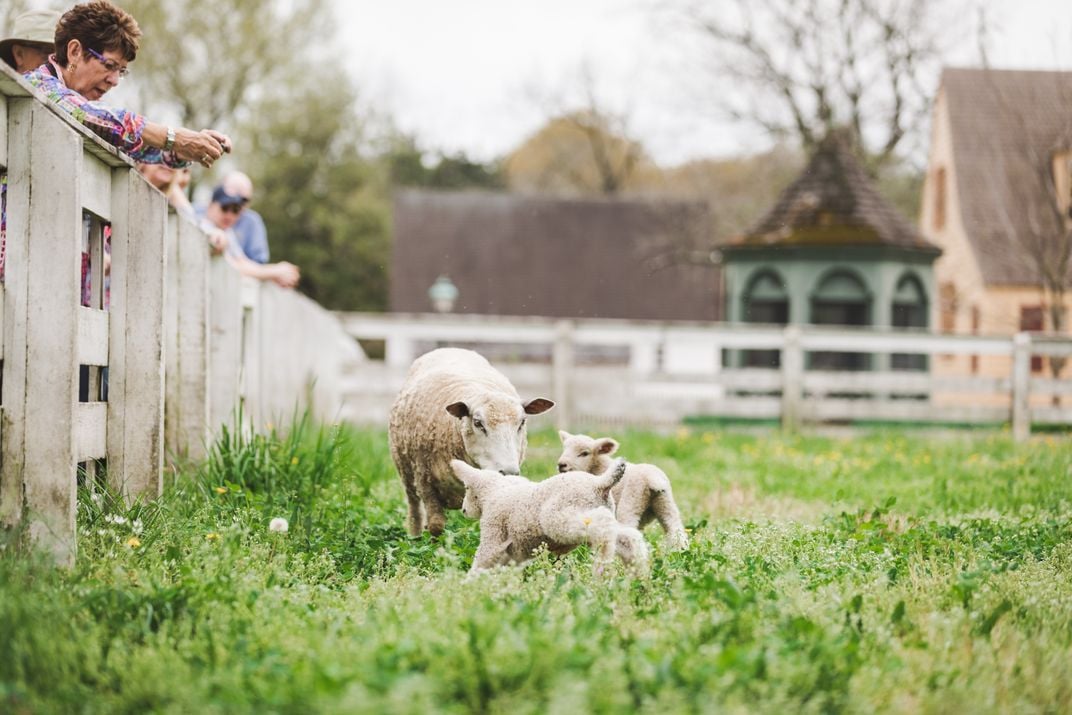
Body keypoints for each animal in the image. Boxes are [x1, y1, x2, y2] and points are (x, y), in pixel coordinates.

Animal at [388, 347, 553, 535]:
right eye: (478, 423)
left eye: (522, 422)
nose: (508, 472)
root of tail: (450, 348)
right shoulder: (425, 480)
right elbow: (436, 525)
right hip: (406, 472)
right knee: (414, 509)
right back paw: (414, 535)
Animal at [448, 460, 647, 578]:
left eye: (466, 488)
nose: (463, 510)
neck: (494, 492)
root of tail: (600, 483)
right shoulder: (514, 552)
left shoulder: (494, 531)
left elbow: (483, 558)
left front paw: (468, 585)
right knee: (628, 538)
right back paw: (639, 573)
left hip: (561, 516)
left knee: (602, 525)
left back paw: (601, 567)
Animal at [557, 428, 690, 553]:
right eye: (564, 449)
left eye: (584, 453)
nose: (561, 465)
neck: (600, 468)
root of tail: (652, 479)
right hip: (665, 503)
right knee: (675, 529)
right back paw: (680, 552)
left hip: (631, 501)